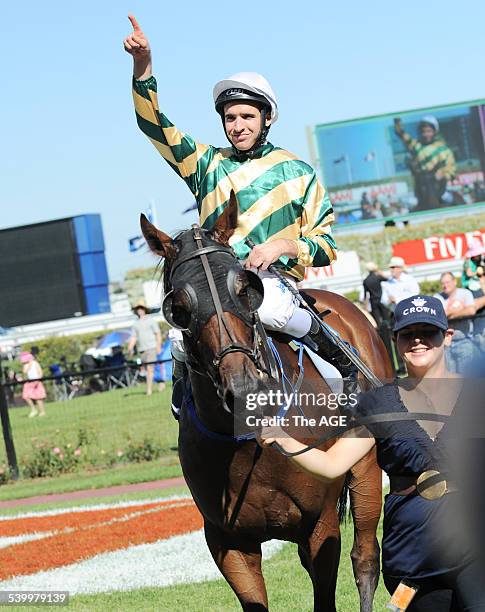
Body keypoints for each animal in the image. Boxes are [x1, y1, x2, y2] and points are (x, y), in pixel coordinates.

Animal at [140, 198, 394, 608]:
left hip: (366, 469)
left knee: (367, 559)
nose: (244, 389)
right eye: (177, 305)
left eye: (247, 288)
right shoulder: (227, 541)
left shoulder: (320, 523)